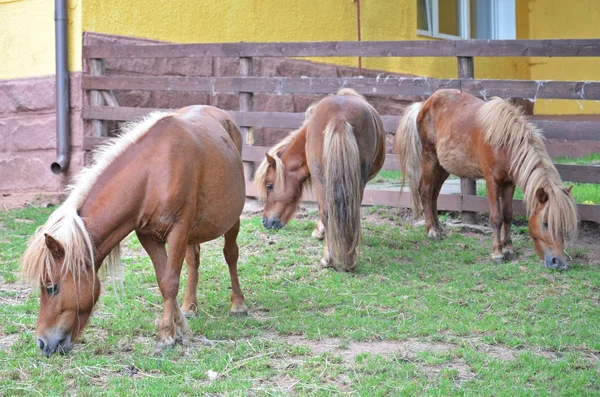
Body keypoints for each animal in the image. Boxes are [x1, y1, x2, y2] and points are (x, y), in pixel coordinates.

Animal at [21, 105, 246, 356]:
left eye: (51, 288)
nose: (42, 343)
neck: (153, 174)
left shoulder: (178, 231)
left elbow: (170, 282)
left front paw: (166, 335)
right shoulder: (148, 236)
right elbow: (163, 280)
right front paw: (177, 326)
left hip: (231, 220)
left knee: (231, 255)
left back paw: (238, 304)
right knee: (193, 260)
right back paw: (190, 305)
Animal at [394, 89, 576, 270]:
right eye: (545, 223)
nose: (559, 263)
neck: (505, 142)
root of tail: (424, 104)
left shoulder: (509, 183)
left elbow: (508, 214)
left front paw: (509, 249)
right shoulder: (491, 181)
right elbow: (496, 218)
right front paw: (498, 253)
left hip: (443, 166)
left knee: (434, 194)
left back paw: (438, 228)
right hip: (429, 157)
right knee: (425, 191)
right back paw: (431, 230)